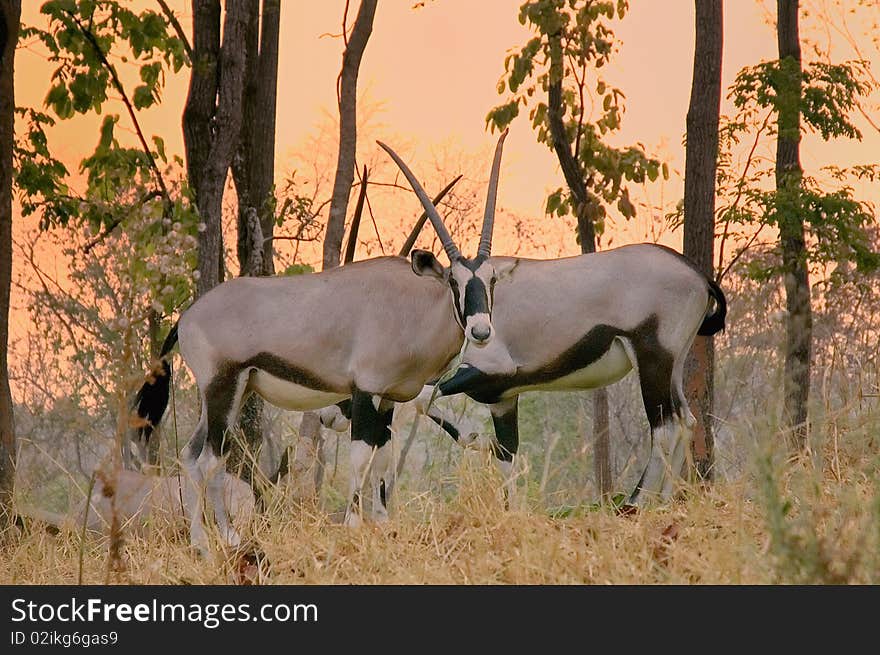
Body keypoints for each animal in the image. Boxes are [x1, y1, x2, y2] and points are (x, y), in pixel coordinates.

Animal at [133, 131, 512, 556]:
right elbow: (361, 458)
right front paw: (352, 525)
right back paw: (213, 543)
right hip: (222, 387)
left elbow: (382, 460)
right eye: (453, 282)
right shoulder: (365, 391)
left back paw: (216, 539)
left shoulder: (386, 399)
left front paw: (382, 525)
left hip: (234, 391)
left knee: (192, 455)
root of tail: (185, 318)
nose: (480, 330)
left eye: (491, 281)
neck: (409, 305)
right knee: (208, 460)